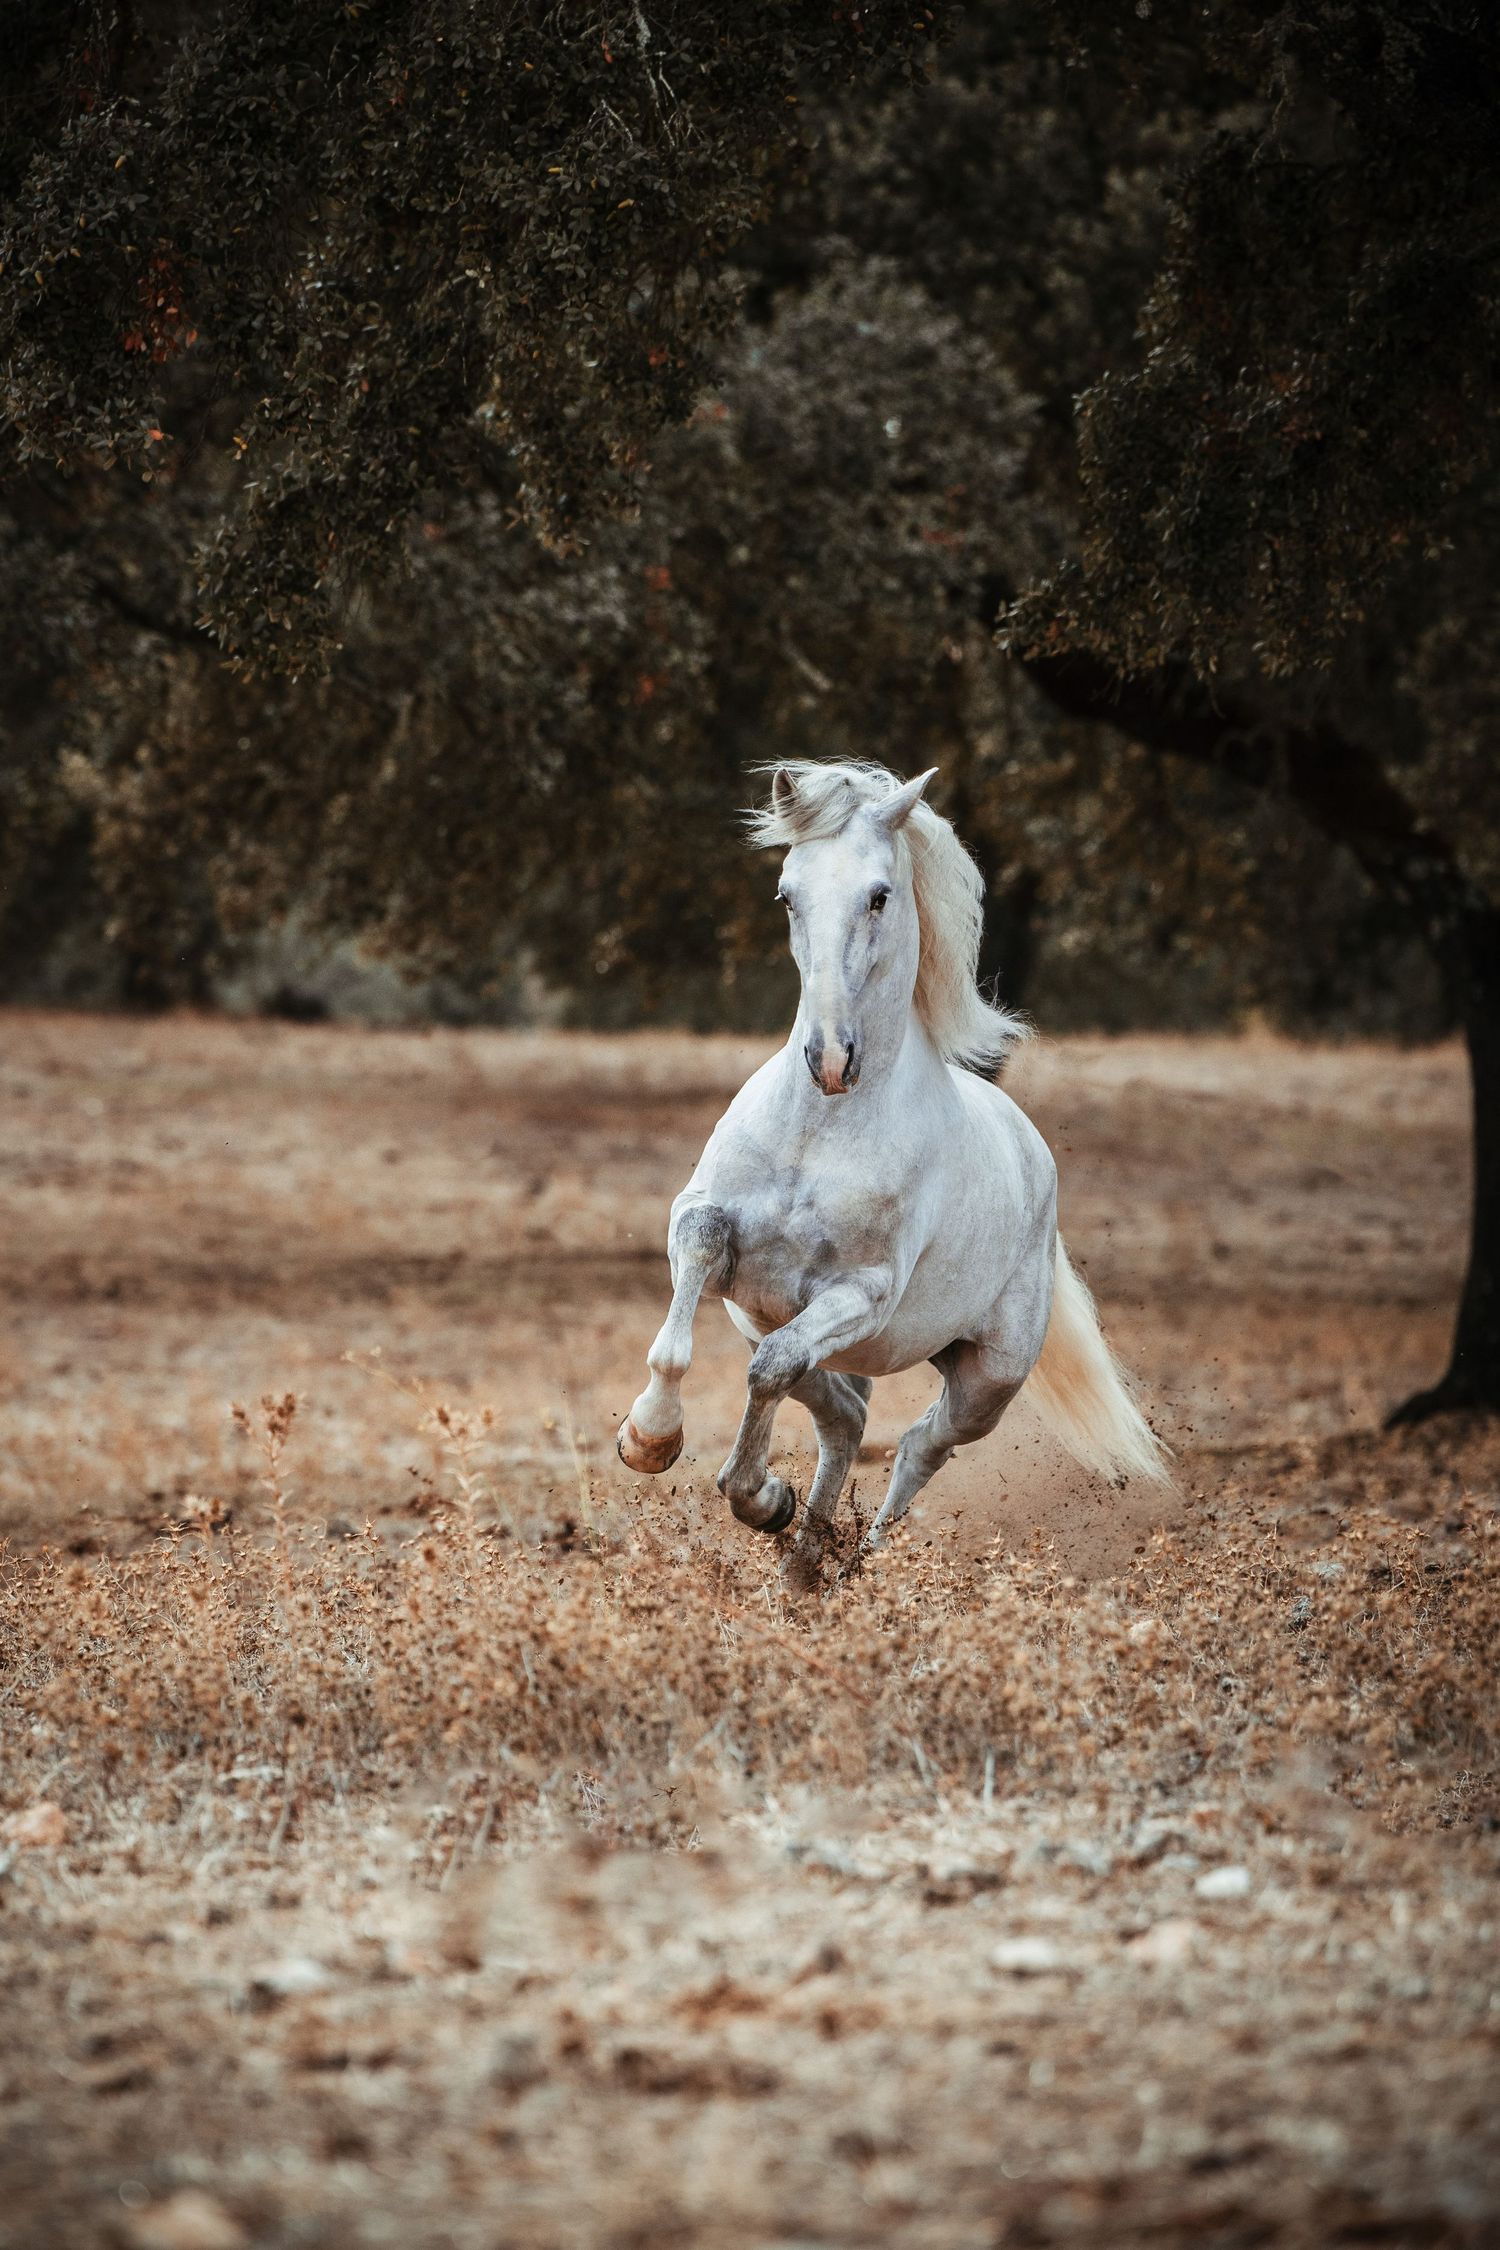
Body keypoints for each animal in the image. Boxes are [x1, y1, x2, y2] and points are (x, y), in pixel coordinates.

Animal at [617, 759, 1169, 1594]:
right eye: (787, 894)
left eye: (879, 895)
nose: (829, 1059)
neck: (820, 1131)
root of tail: (1031, 1151)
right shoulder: (713, 1240)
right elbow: (678, 1340)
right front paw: (651, 1442)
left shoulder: (862, 1293)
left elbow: (769, 1372)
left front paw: (754, 1496)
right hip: (795, 1328)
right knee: (844, 1418)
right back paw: (803, 1561)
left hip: (985, 1380)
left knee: (917, 1446)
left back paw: (857, 1564)